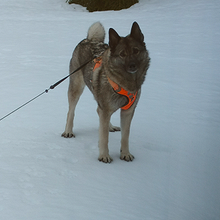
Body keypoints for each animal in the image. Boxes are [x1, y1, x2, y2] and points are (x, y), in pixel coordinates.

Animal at [62, 21, 151, 162]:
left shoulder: (128, 111)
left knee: (100, 113)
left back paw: (110, 126)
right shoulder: (106, 108)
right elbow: (104, 138)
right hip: (76, 88)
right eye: (122, 54)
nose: (132, 65)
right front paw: (104, 156)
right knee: (71, 111)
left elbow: (125, 136)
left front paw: (125, 153)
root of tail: (89, 39)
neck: (125, 83)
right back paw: (68, 131)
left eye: (136, 51)